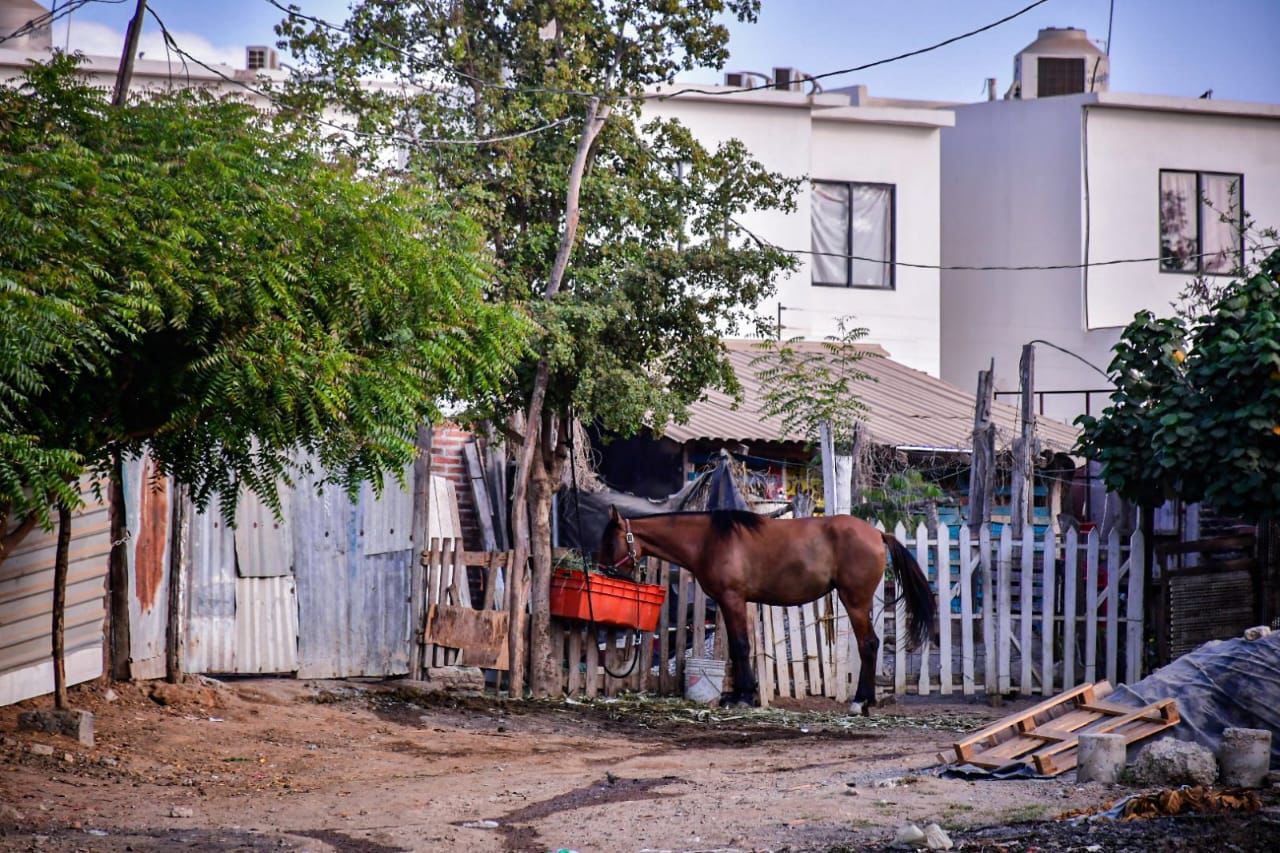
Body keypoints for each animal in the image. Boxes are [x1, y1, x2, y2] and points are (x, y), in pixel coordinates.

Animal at [597, 506, 936, 714]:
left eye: (609, 542)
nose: (605, 572)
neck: (708, 539)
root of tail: (878, 534)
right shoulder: (732, 603)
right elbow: (738, 648)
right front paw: (737, 694)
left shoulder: (733, 599)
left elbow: (741, 645)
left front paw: (743, 697)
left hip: (855, 601)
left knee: (869, 644)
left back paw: (859, 702)